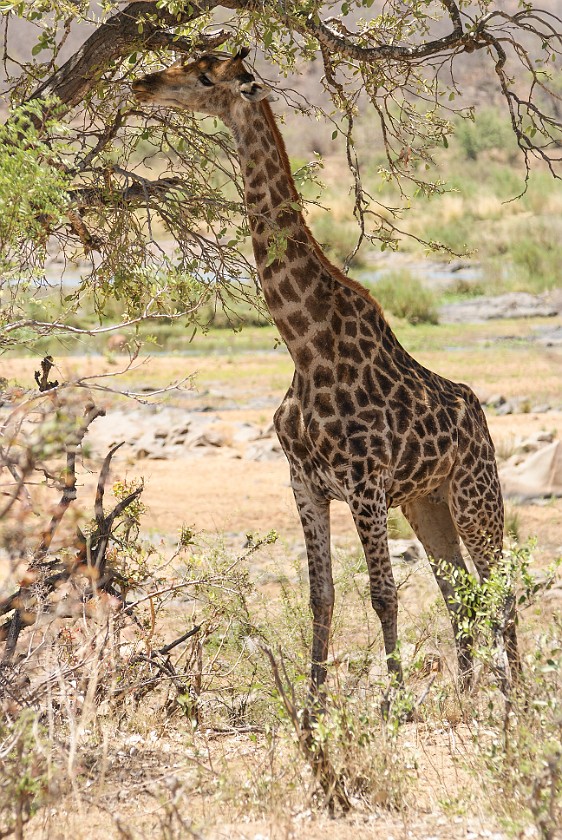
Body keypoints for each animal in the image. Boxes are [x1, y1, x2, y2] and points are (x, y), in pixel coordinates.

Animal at [131, 50, 516, 696]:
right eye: (185, 59)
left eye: (206, 77)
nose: (143, 82)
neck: (304, 346)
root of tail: (480, 416)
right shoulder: (304, 482)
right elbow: (323, 597)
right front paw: (313, 708)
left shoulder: (364, 484)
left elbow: (383, 595)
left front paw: (395, 706)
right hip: (427, 502)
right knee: (458, 590)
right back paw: (470, 698)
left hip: (474, 494)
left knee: (500, 589)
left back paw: (517, 700)